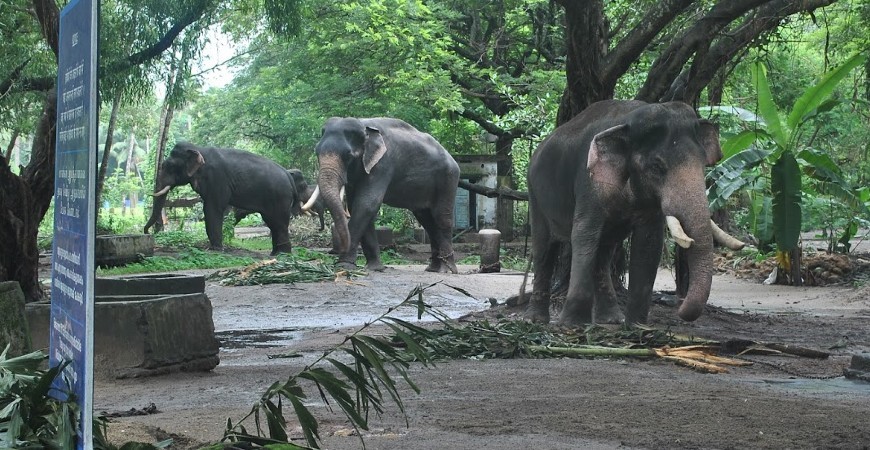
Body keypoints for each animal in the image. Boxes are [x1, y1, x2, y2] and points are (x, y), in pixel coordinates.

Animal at [145, 142, 302, 253]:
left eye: (169, 166)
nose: (146, 233)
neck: (199, 148)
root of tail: (289, 177)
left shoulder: (217, 179)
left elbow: (212, 208)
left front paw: (215, 249)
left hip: (280, 197)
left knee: (279, 222)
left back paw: (281, 254)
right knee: (273, 222)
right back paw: (276, 253)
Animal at [310, 116, 466, 272]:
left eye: (348, 155)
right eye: (316, 152)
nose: (334, 252)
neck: (363, 125)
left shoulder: (383, 164)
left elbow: (367, 204)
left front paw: (344, 265)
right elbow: (357, 206)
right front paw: (374, 268)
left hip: (448, 178)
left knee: (441, 218)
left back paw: (446, 270)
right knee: (427, 220)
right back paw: (432, 268)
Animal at [528, 101, 744, 326]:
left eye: (703, 164)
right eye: (657, 166)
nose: (680, 309)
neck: (627, 120)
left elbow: (649, 243)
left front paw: (637, 325)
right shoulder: (589, 183)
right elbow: (584, 234)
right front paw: (572, 324)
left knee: (603, 251)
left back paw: (611, 319)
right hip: (534, 193)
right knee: (544, 248)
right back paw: (536, 320)